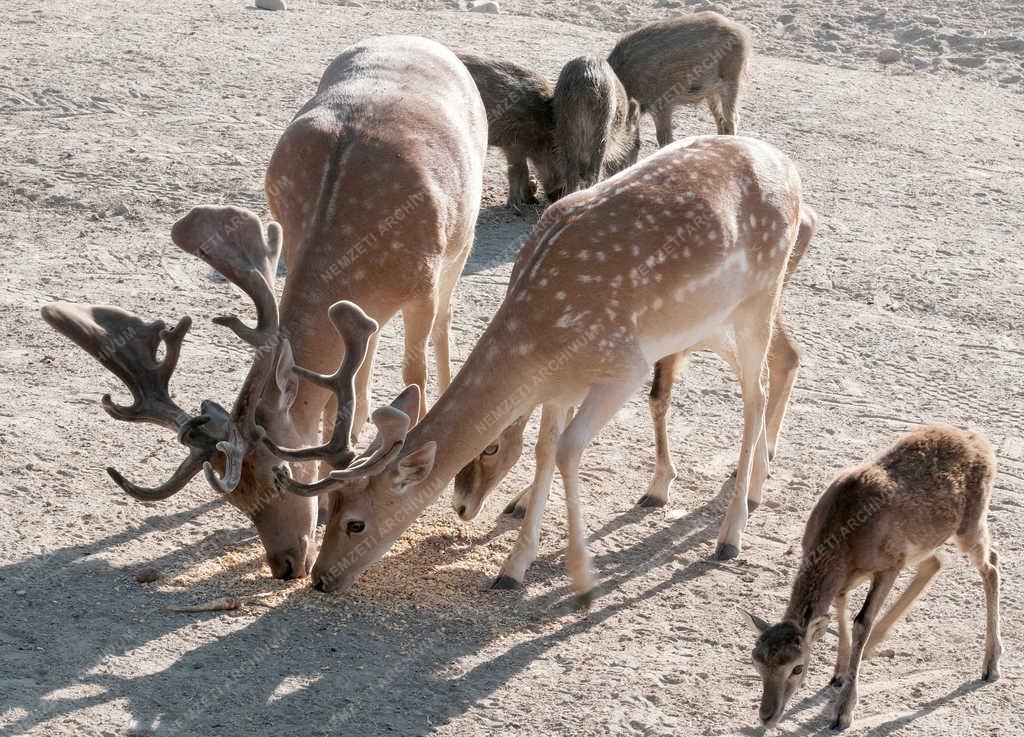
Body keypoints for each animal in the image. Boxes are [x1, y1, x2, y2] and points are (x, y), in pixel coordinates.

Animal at [37, 34, 485, 581]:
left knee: (443, 323)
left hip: (464, 238)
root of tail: (417, 38)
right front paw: (338, 480)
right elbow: (338, 391)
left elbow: (413, 372)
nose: (286, 565)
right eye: (237, 499)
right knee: (367, 351)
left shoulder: (422, 286)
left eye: (280, 475)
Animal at [268, 134, 811, 597]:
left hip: (757, 302)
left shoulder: (623, 366)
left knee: (757, 392)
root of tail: (790, 168)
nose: (319, 579)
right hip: (709, 324)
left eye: (355, 520)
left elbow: (569, 450)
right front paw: (514, 566)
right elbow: (546, 451)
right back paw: (750, 489)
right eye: (331, 506)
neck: (541, 343)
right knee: (771, 373)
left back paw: (731, 533)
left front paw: (582, 578)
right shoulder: (559, 386)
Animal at [606, 12, 753, 144]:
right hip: (711, 91)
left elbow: (664, 138)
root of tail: (739, 29)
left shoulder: (662, 104)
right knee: (720, 119)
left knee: (732, 119)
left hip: (732, 80)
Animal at [745, 425, 999, 732]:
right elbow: (840, 610)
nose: (767, 716)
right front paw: (839, 672)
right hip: (922, 546)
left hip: (970, 525)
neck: (845, 539)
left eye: (797, 667)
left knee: (991, 564)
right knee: (936, 562)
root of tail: (980, 441)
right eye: (756, 661)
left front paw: (842, 713)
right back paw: (874, 644)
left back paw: (990, 666)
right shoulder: (848, 577)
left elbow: (861, 622)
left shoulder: (889, 565)